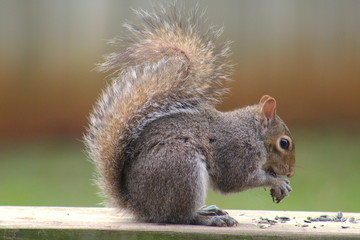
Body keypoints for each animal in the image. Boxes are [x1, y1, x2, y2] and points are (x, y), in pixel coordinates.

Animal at [85, 3, 296, 227]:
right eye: (284, 143)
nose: (291, 172)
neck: (253, 133)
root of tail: (137, 204)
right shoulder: (236, 152)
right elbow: (236, 180)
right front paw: (278, 181)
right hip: (183, 168)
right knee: (180, 216)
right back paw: (208, 218)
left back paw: (208, 210)